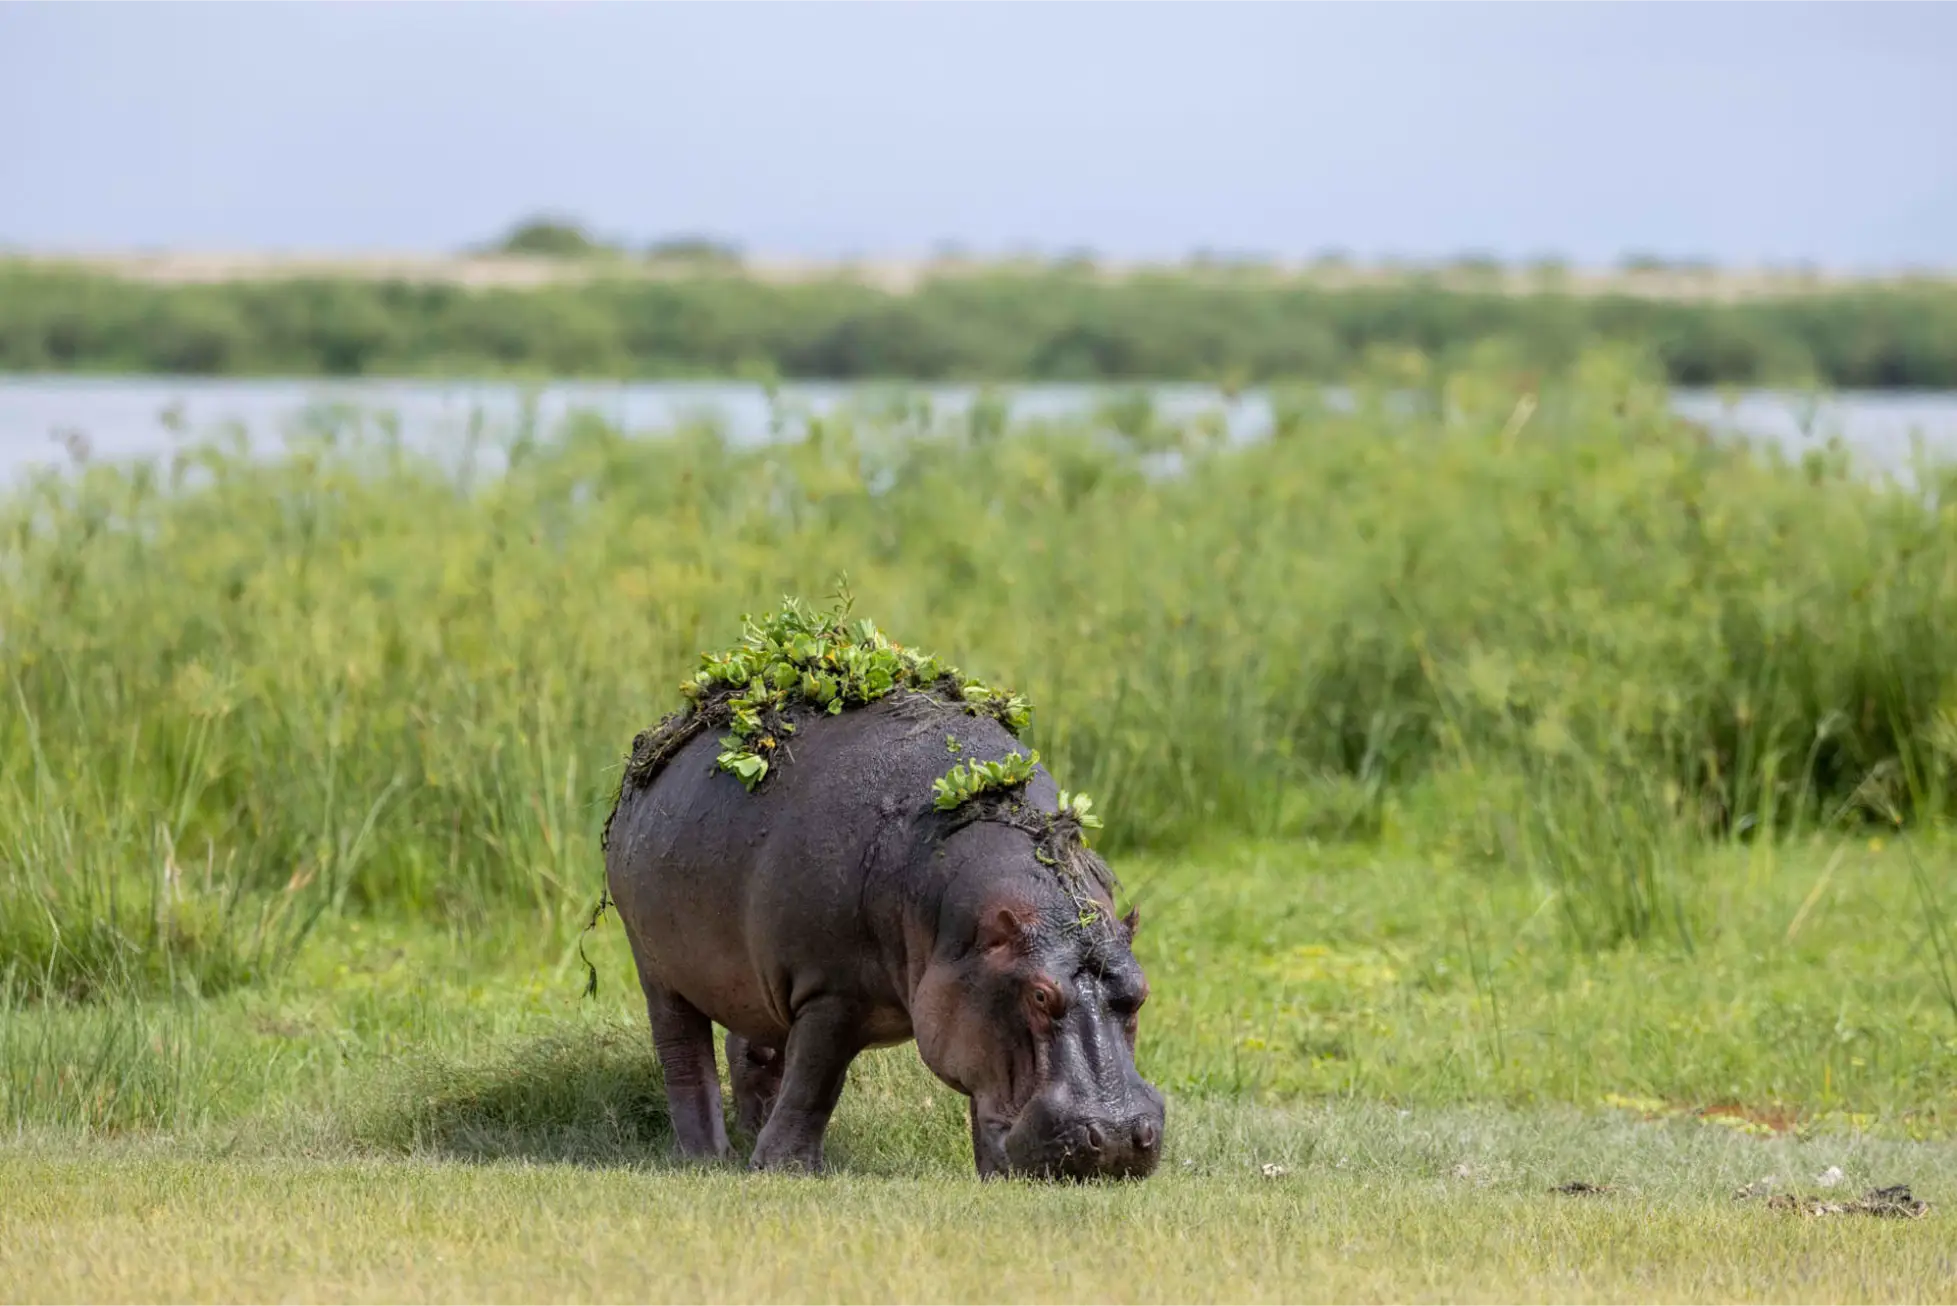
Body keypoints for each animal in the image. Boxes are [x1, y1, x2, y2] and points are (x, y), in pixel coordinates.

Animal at [602, 692, 1165, 1179]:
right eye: (1041, 995)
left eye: (1141, 993)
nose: (1117, 1138)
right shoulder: (829, 991)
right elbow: (816, 1081)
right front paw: (784, 1170)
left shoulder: (965, 1003)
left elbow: (979, 1092)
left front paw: (994, 1176)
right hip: (657, 969)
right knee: (684, 1055)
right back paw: (706, 1157)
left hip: (759, 982)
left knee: (756, 1047)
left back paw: (749, 1135)